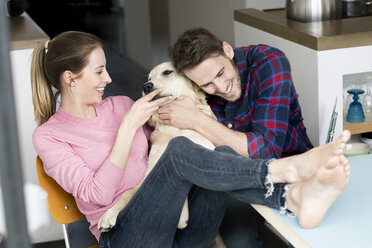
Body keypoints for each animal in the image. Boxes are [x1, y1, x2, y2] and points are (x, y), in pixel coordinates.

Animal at [98, 61, 224, 247]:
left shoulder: (204, 147)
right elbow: (129, 193)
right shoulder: (152, 170)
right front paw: (108, 216)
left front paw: (182, 216)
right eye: (149, 78)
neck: (173, 128)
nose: (146, 86)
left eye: (167, 72)